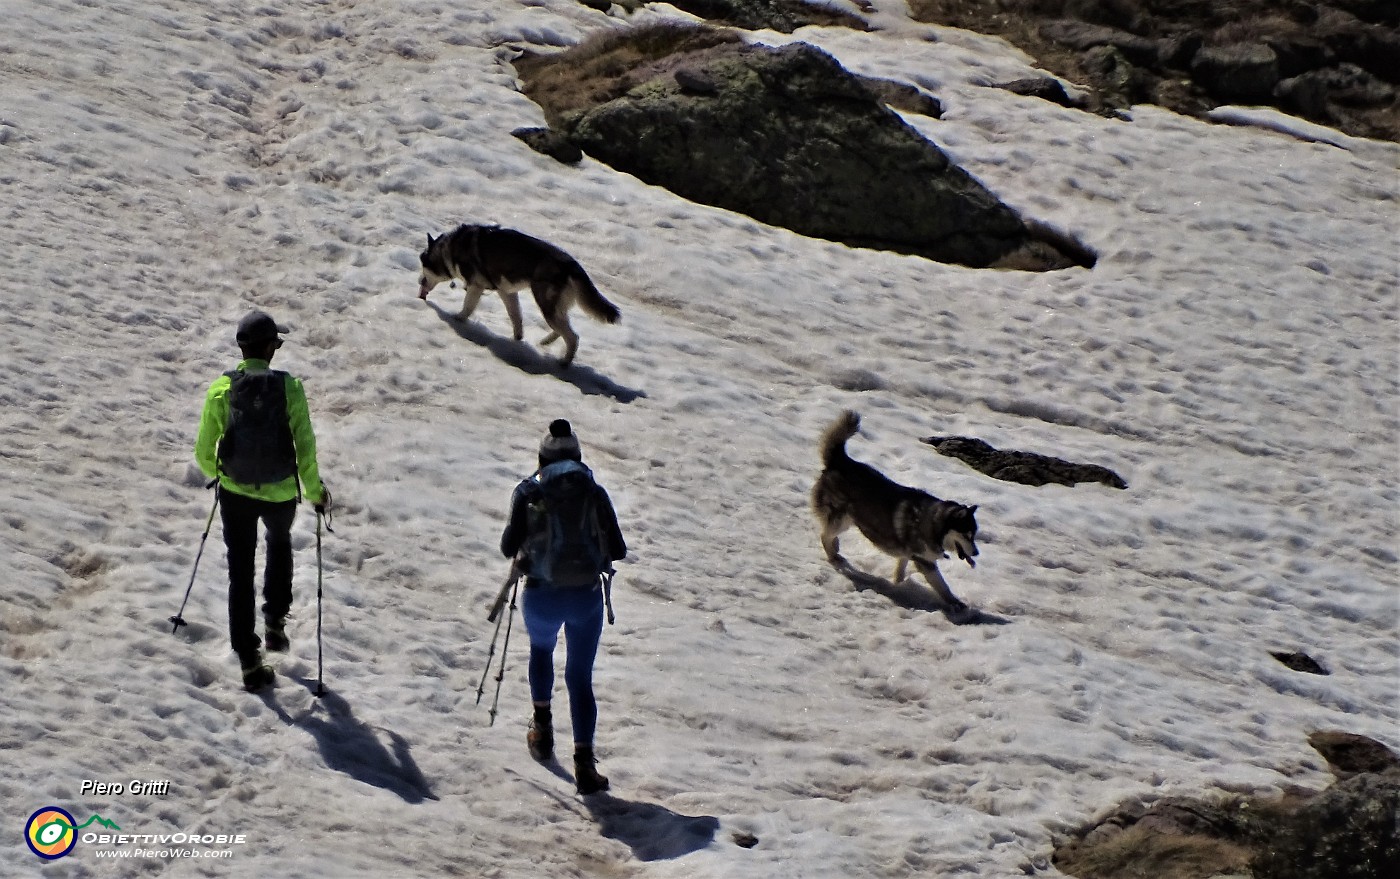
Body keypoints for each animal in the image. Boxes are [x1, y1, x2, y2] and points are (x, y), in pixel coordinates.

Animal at [417, 226, 621, 366]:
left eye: (423, 266)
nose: (419, 281)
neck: (449, 249)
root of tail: (572, 264)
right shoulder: (506, 292)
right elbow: (516, 316)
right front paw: (517, 339)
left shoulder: (476, 286)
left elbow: (468, 307)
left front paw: (457, 319)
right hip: (554, 306)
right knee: (563, 328)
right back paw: (546, 341)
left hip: (545, 301)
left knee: (573, 337)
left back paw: (565, 362)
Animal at [817, 411, 980, 610]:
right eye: (966, 535)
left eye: (974, 535)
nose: (976, 553)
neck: (933, 524)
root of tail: (840, 460)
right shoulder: (925, 561)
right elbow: (942, 585)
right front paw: (955, 603)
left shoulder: (908, 552)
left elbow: (901, 567)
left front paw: (898, 583)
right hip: (841, 518)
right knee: (825, 535)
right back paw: (833, 556)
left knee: (830, 534)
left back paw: (836, 548)